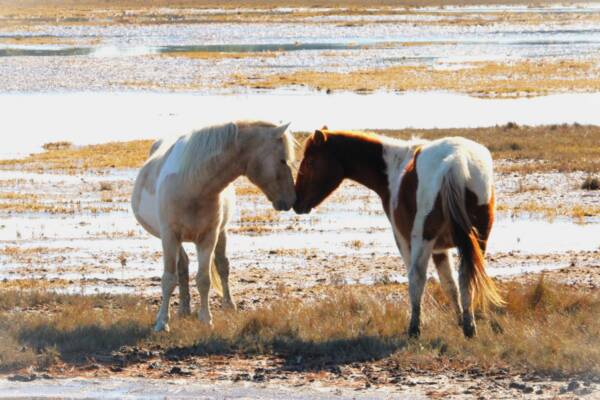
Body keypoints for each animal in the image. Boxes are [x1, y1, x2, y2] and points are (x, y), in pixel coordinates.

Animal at [131, 121, 296, 332]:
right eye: (282, 160)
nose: (291, 199)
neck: (192, 184)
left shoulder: (208, 237)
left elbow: (204, 279)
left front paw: (206, 319)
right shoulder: (169, 237)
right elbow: (169, 278)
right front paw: (161, 322)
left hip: (221, 233)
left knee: (222, 265)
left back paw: (228, 305)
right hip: (177, 240)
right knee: (182, 267)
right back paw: (183, 309)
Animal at [294, 128, 502, 338]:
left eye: (310, 161)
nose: (296, 202)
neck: (395, 167)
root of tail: (456, 161)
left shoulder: (404, 240)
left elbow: (422, 281)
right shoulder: (441, 249)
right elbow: (450, 285)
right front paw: (460, 322)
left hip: (423, 239)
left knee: (417, 277)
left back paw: (414, 329)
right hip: (479, 239)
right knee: (466, 278)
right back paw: (469, 327)